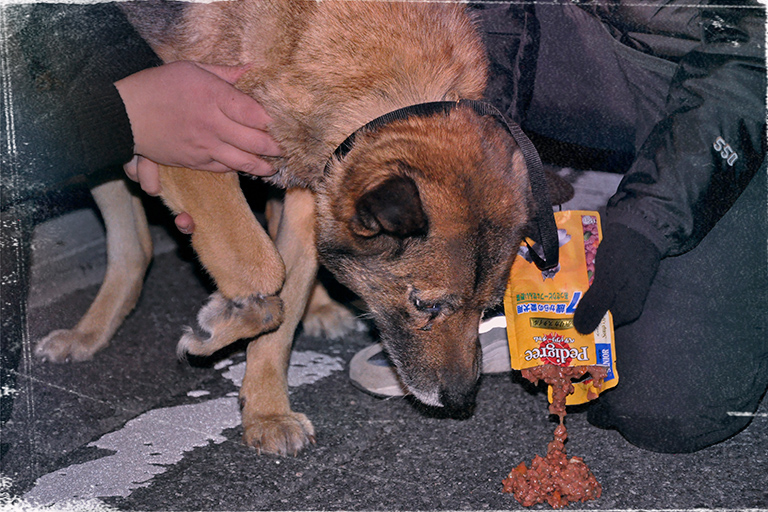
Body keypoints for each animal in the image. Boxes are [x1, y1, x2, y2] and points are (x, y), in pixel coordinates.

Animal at [39, 0, 572, 456]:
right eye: (425, 305)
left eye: (490, 306)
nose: (461, 401)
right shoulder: (188, 146)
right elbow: (262, 268)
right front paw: (221, 325)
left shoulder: (311, 193)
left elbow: (284, 305)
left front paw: (266, 412)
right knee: (135, 240)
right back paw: (89, 333)